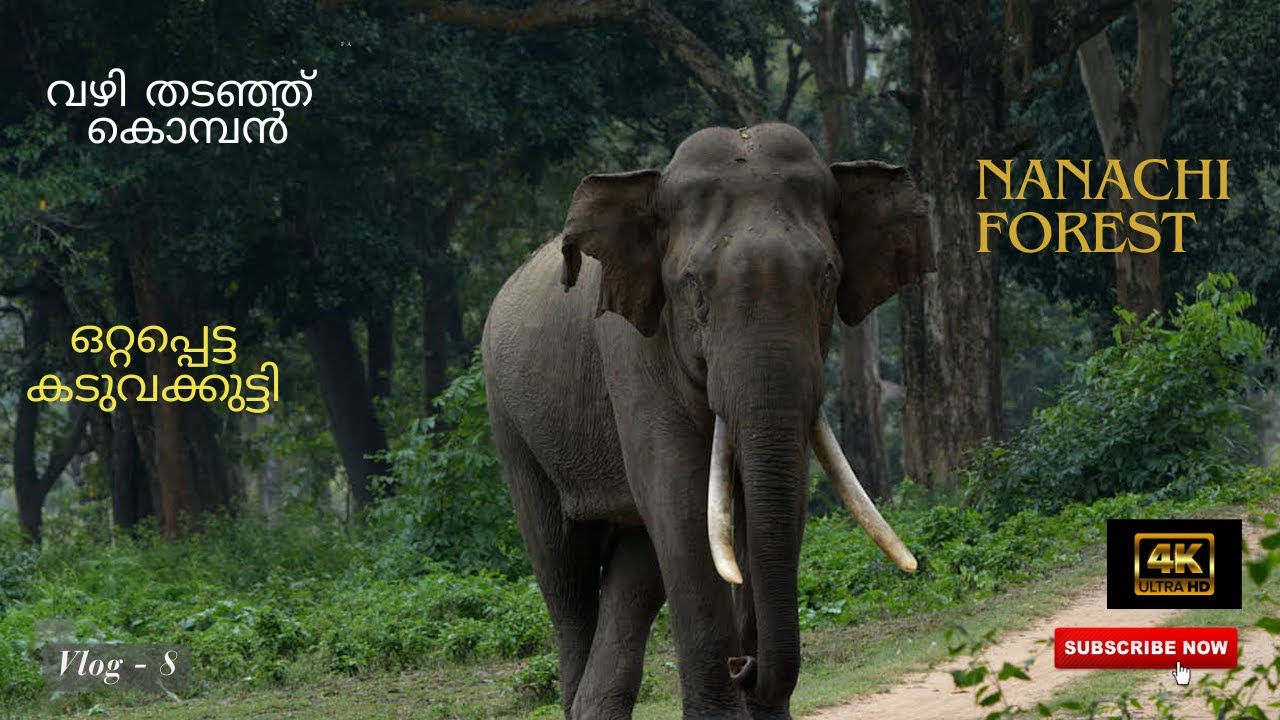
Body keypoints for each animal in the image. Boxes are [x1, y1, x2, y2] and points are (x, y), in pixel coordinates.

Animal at [481, 123, 932, 720]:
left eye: (828, 278)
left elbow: (772, 502)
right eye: (694, 284)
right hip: (510, 421)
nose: (746, 665)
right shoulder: (631, 348)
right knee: (564, 567)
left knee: (636, 567)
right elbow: (682, 497)